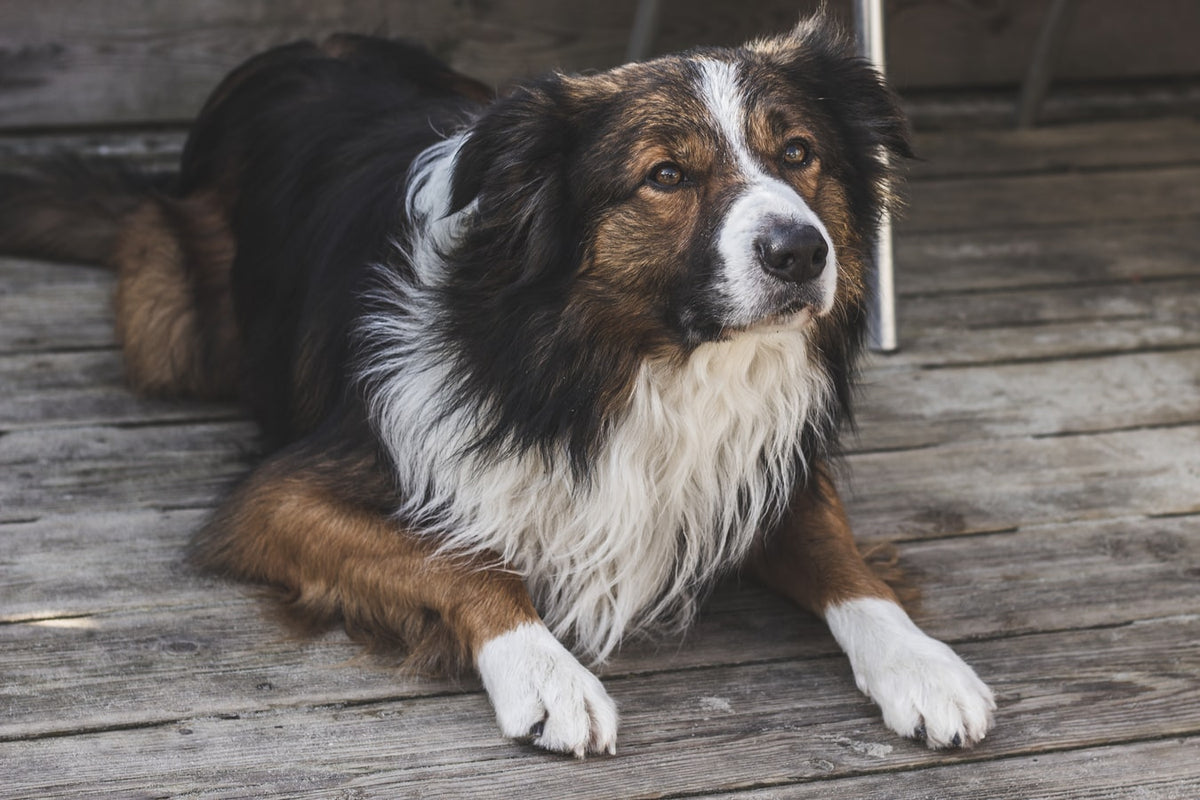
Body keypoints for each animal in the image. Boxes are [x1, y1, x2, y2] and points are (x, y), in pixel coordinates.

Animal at [0, 17, 993, 758]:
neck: (628, 359)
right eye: (666, 175)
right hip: (170, 323)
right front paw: (546, 673)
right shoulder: (278, 496)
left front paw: (922, 663)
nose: (801, 254)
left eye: (798, 152)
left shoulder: (753, 460)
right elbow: (460, 558)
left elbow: (841, 555)